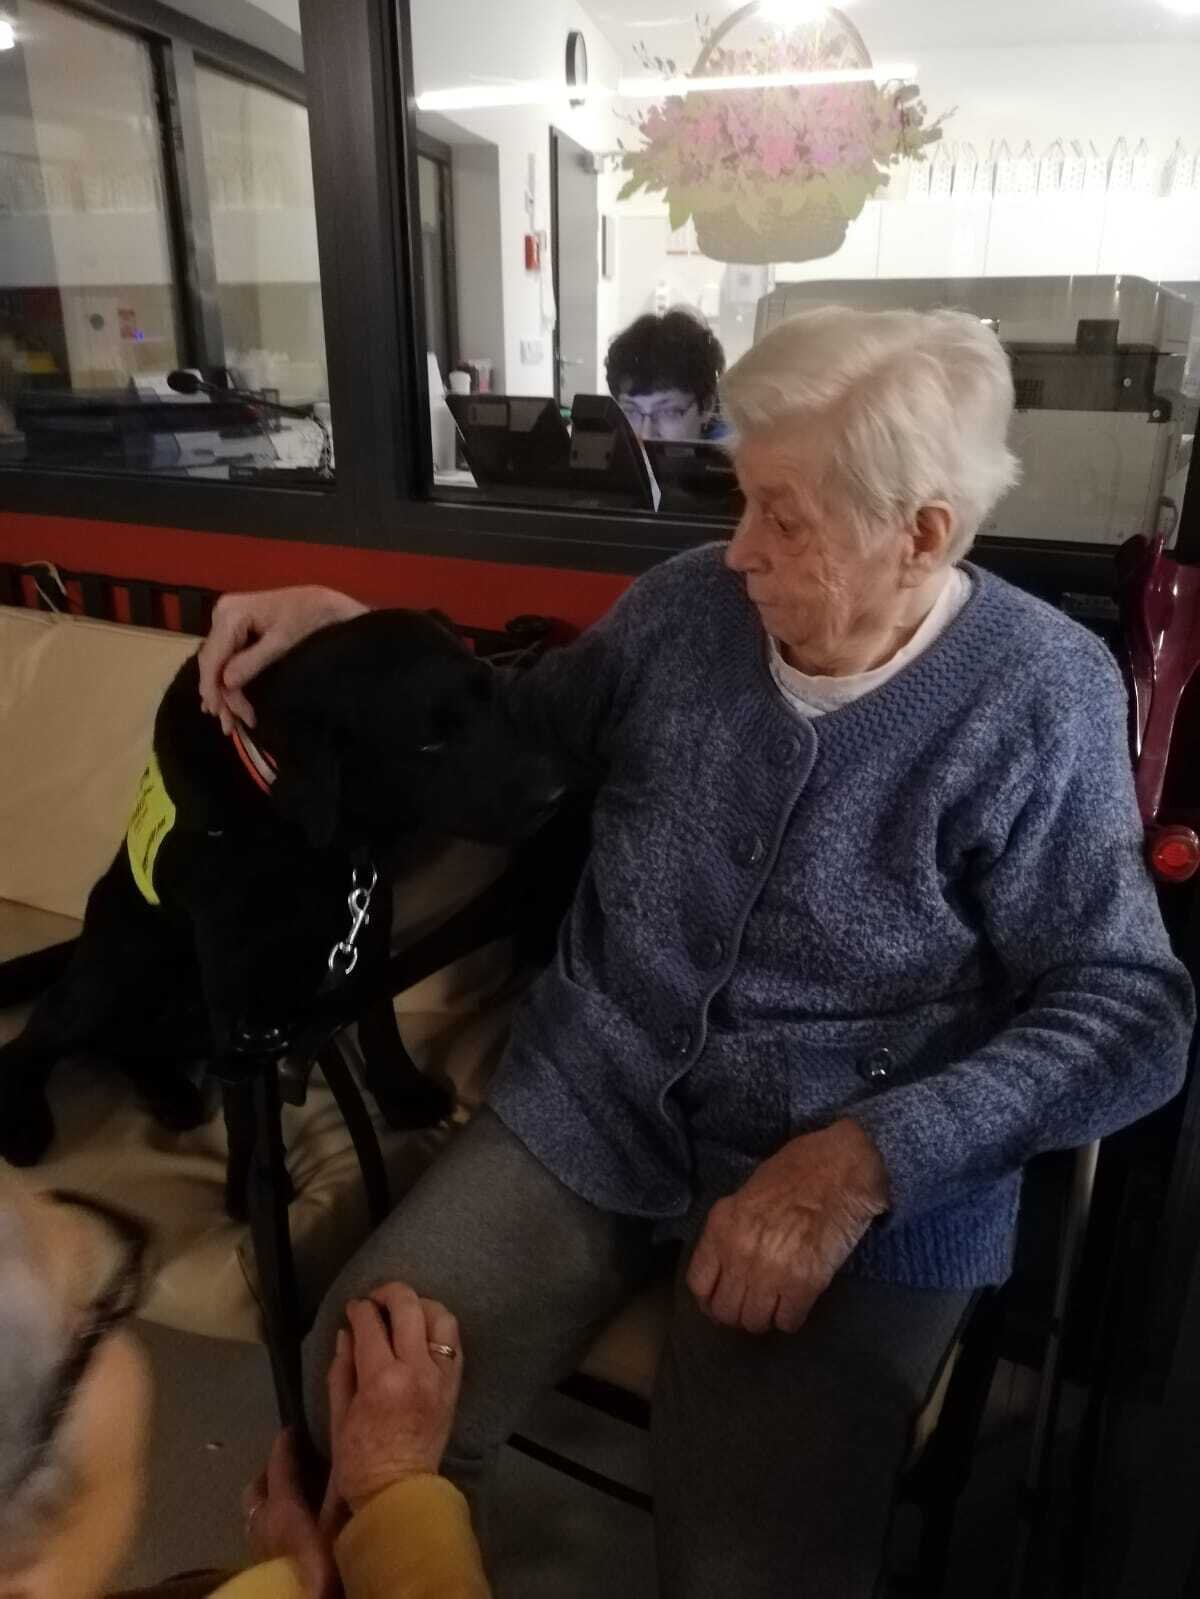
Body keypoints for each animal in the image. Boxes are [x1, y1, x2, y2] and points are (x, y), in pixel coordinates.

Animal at [0, 609, 570, 1212]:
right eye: (429, 744)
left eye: (493, 695)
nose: (557, 793)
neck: (302, 826)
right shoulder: (233, 976)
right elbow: (244, 1108)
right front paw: (252, 1190)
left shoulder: (369, 919)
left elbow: (379, 1020)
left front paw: (401, 1094)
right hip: (118, 966)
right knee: (34, 1040)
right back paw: (24, 1121)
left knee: (126, 1045)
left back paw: (172, 1093)